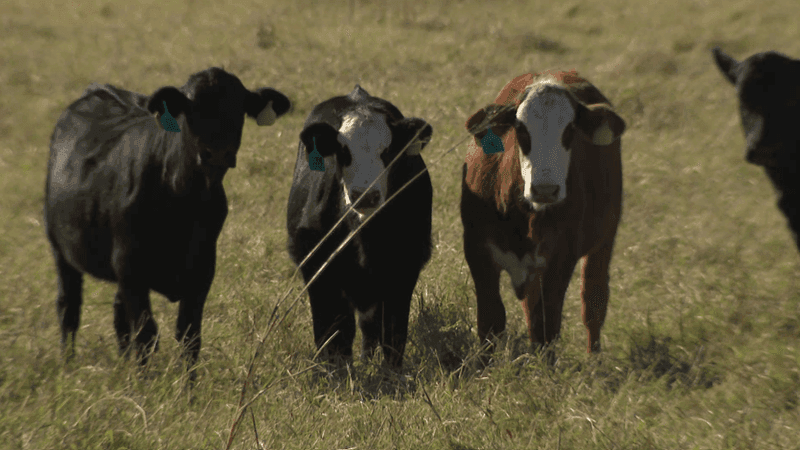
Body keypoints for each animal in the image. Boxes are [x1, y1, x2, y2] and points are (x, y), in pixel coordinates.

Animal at [45, 68, 291, 379]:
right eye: (191, 109)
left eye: (239, 108)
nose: (217, 153)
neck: (182, 199)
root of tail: (99, 90)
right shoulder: (130, 266)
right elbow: (146, 334)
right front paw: (145, 385)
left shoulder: (202, 269)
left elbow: (189, 335)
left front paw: (188, 387)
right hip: (61, 249)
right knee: (69, 308)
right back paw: (68, 366)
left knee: (118, 315)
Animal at [286, 85, 433, 369]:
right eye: (343, 151)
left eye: (389, 151)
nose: (366, 195)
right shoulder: (319, 272)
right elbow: (333, 336)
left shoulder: (404, 271)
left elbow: (393, 333)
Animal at [460, 71, 626, 358]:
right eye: (521, 129)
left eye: (570, 130)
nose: (545, 189)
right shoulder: (478, 251)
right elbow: (491, 321)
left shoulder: (560, 258)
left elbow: (545, 327)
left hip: (605, 239)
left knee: (593, 302)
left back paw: (593, 359)